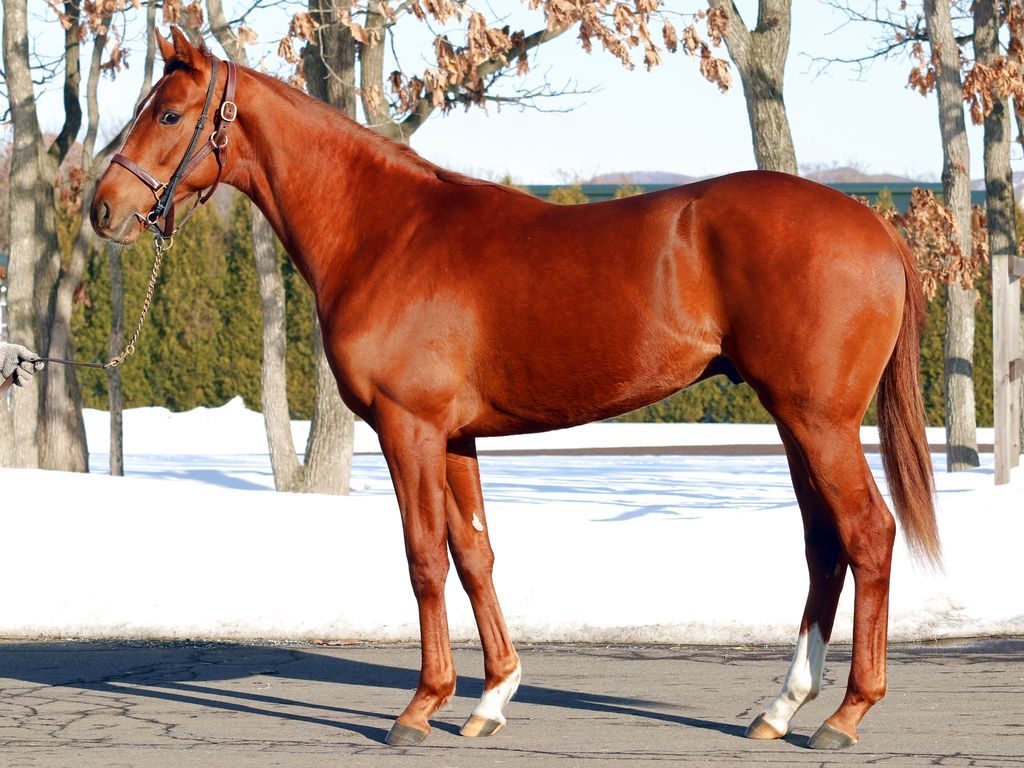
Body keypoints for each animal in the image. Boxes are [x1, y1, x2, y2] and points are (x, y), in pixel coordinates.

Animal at [91, 27, 939, 751]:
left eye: (168, 112)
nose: (103, 208)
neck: (385, 232)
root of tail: (876, 226)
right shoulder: (455, 437)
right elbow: (474, 554)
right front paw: (491, 698)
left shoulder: (407, 428)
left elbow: (423, 558)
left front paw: (420, 707)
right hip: (797, 423)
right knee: (825, 546)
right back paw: (781, 708)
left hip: (821, 422)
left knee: (869, 535)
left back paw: (846, 714)